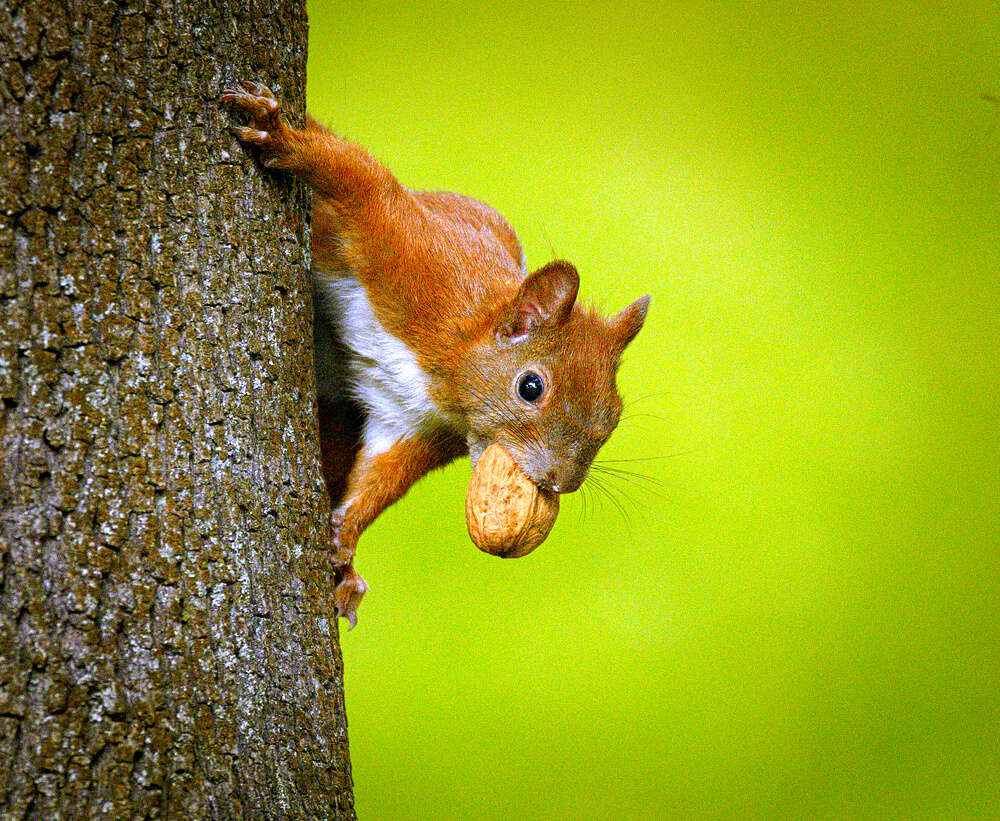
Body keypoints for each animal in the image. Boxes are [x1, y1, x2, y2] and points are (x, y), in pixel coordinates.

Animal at [223, 81, 652, 628]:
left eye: (614, 413)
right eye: (530, 387)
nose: (561, 482)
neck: (448, 365)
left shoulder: (416, 424)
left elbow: (384, 476)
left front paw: (344, 539)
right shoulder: (415, 254)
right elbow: (359, 180)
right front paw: (281, 136)